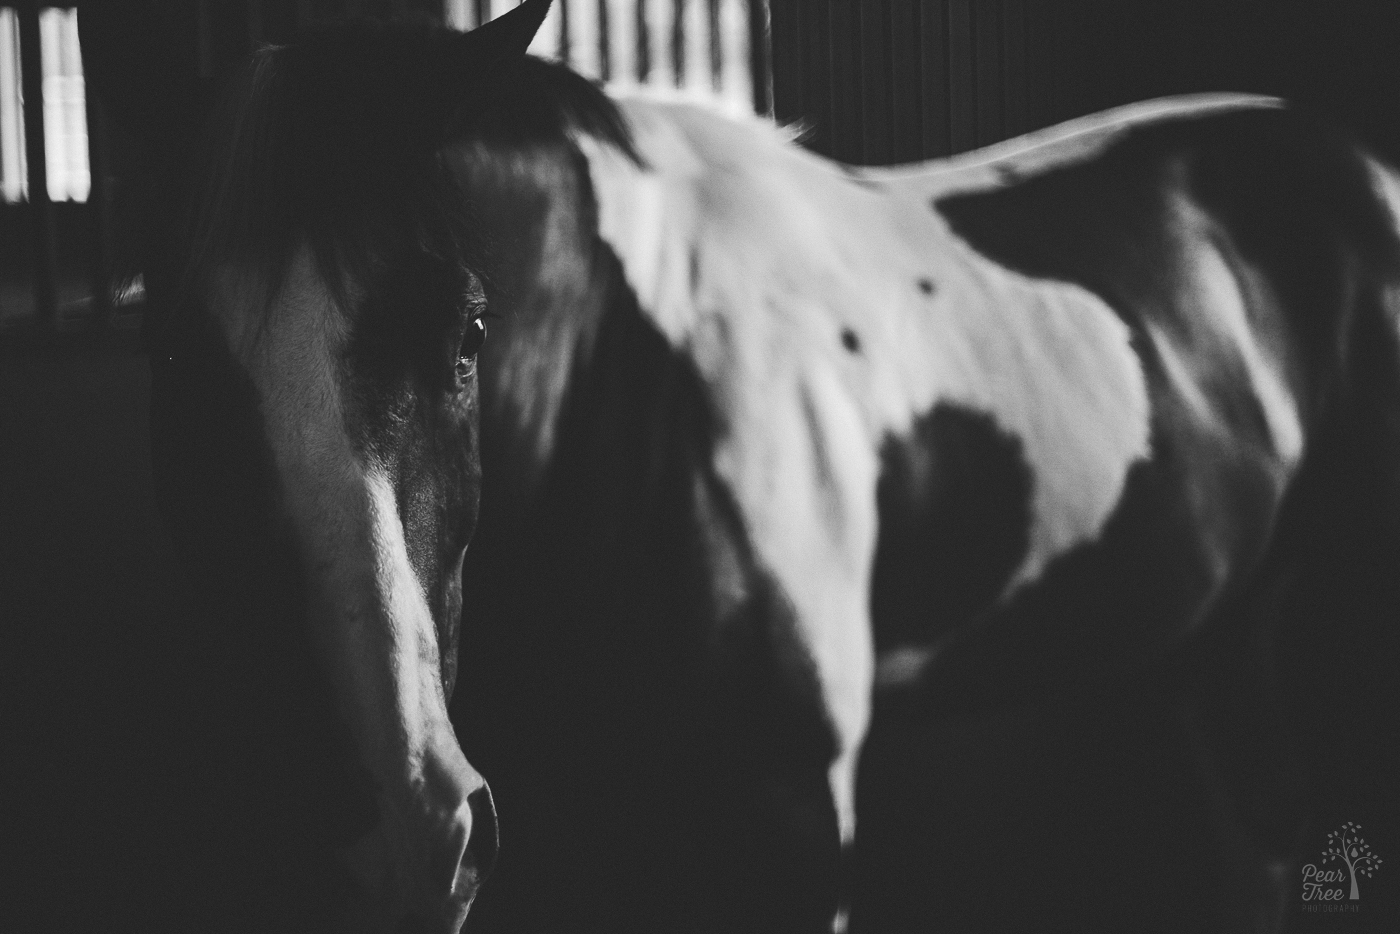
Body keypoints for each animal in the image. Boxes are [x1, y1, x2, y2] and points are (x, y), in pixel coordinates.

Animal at [93, 0, 1394, 929]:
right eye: (170, 351)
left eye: (466, 334)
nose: (409, 832)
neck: (635, 403)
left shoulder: (787, 820)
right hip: (1215, 634)